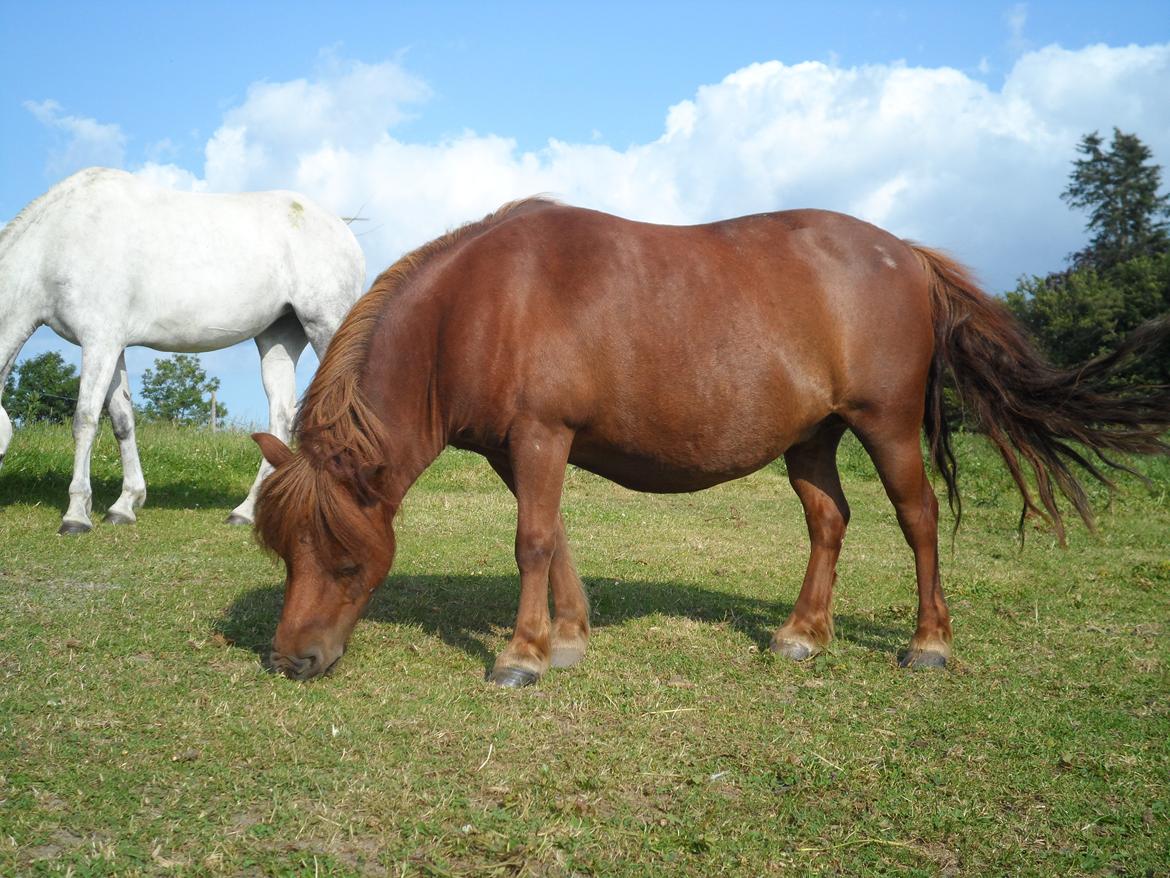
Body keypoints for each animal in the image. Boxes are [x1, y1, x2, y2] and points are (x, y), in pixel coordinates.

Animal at [0, 167, 365, 533]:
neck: (58, 241)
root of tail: (342, 230)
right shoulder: (113, 346)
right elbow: (122, 420)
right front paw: (125, 504)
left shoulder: (98, 341)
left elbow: (85, 420)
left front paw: (76, 515)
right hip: (278, 340)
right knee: (281, 418)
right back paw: (245, 511)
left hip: (325, 327)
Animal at [251, 199, 1165, 688]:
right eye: (285, 555)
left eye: (345, 562)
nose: (292, 661)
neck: (476, 306)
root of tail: (905, 254)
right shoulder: (522, 450)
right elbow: (556, 538)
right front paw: (568, 637)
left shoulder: (541, 436)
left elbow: (532, 540)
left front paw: (522, 655)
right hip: (813, 439)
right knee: (828, 521)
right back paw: (802, 633)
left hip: (886, 425)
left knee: (919, 519)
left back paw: (928, 643)